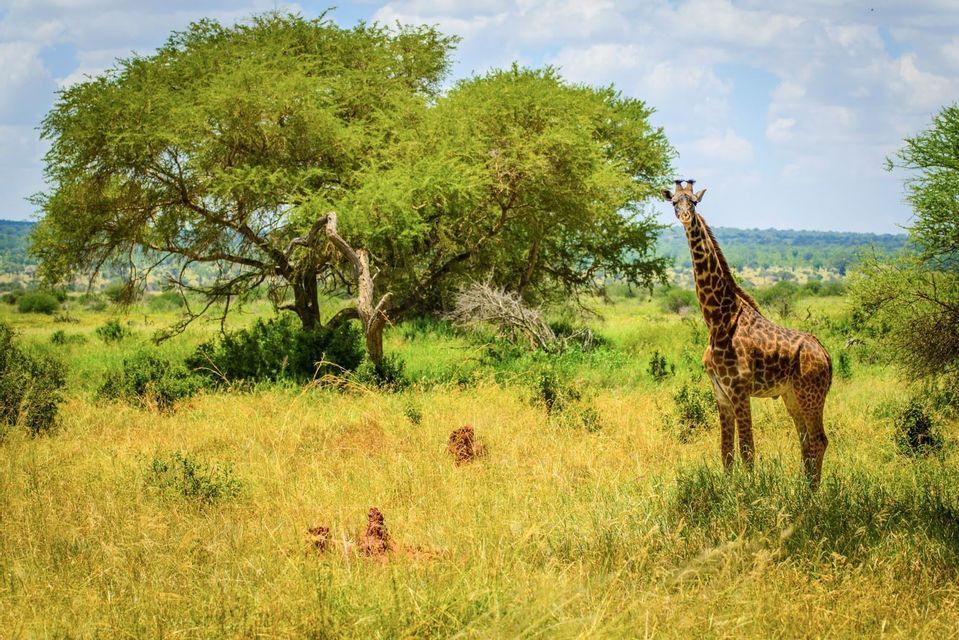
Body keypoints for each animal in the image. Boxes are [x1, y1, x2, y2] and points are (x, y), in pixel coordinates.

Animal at [662, 179, 833, 488]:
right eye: (674, 202)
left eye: (694, 201)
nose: (685, 216)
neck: (718, 319)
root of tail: (826, 354)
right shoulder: (720, 392)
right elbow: (726, 450)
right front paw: (730, 489)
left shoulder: (740, 389)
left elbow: (747, 449)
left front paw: (750, 491)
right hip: (792, 396)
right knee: (805, 440)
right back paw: (803, 489)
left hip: (811, 394)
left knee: (818, 440)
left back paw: (814, 492)